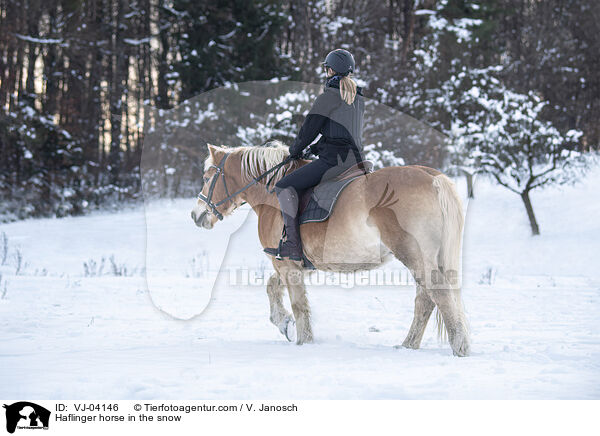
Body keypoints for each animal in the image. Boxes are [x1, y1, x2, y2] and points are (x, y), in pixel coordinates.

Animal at [190, 141, 472, 356]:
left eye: (206, 178)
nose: (196, 215)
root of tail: (431, 177)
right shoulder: (294, 265)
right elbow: (272, 287)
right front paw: (284, 324)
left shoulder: (286, 265)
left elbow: (299, 305)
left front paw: (302, 339)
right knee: (425, 299)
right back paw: (408, 345)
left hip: (414, 255)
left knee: (437, 295)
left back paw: (459, 348)